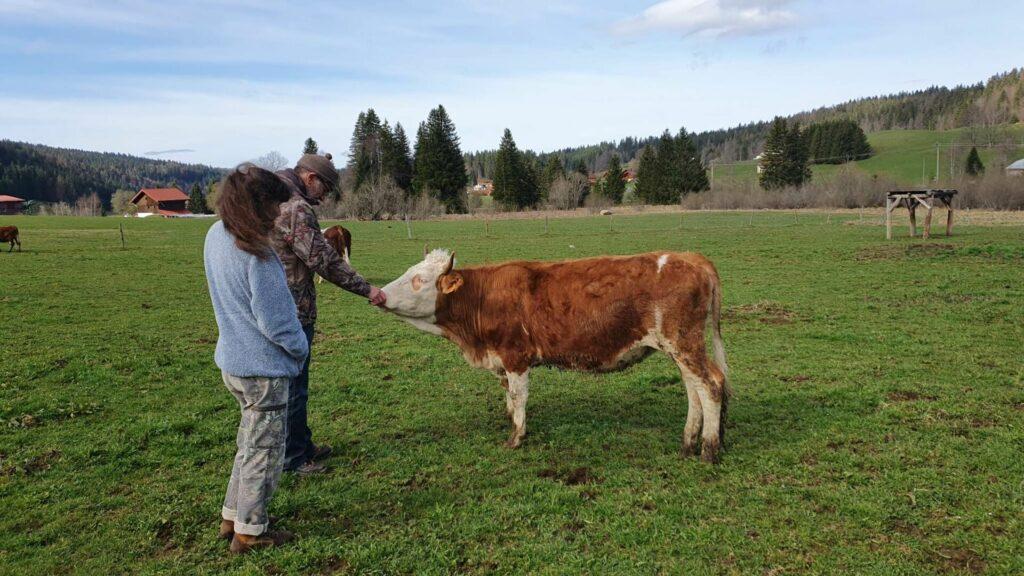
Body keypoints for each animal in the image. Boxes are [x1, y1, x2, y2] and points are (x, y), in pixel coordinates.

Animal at [382, 249, 729, 459]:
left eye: (419, 280)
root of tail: (691, 257)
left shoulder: (516, 356)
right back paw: (687, 443)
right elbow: (508, 396)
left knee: (711, 385)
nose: (379, 294)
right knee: (694, 390)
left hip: (684, 344)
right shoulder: (501, 360)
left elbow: (519, 397)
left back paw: (708, 450)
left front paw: (516, 437)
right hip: (679, 349)